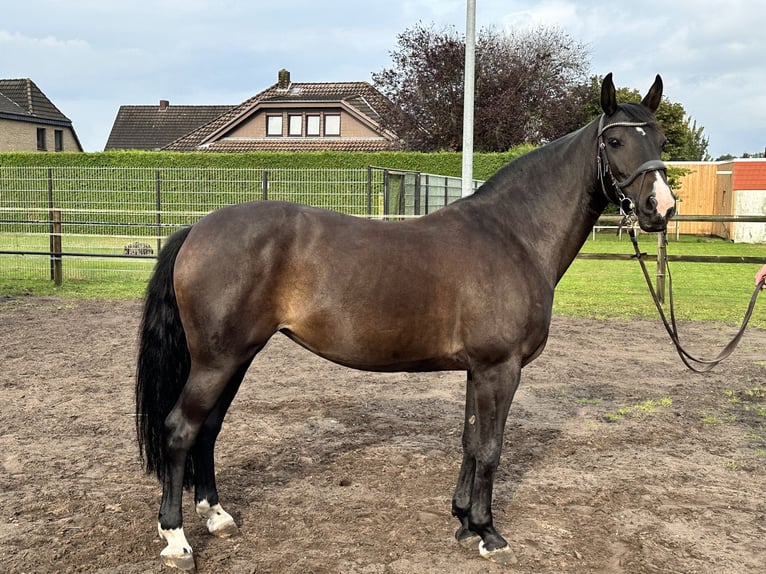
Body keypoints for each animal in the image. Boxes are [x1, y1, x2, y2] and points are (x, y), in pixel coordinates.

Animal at [135, 74, 676, 572]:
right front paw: (489, 533)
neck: (513, 235)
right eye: (615, 141)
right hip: (217, 361)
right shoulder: (500, 369)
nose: (662, 209)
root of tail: (197, 228)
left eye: (661, 140)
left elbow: (470, 442)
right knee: (182, 429)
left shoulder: (479, 370)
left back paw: (217, 516)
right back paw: (177, 540)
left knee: (209, 429)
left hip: (237, 357)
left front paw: (463, 521)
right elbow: (492, 448)